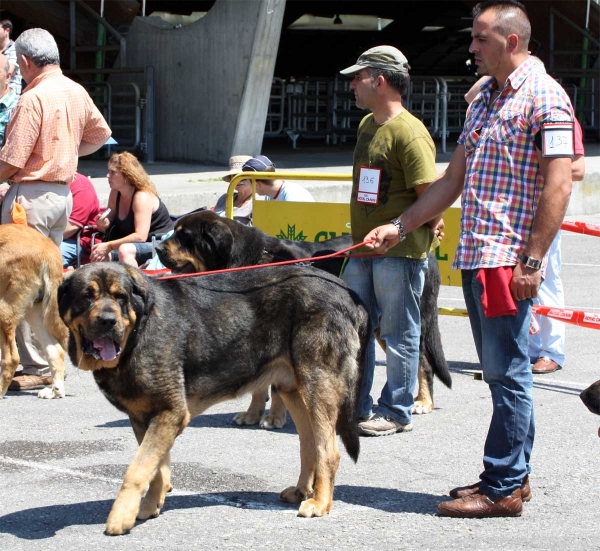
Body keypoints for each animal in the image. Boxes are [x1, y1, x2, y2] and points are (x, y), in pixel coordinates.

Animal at [0, 224, 68, 402]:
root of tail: (48, 248)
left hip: (4, 310)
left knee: (12, 358)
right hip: (35, 312)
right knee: (55, 351)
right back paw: (55, 391)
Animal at [58, 264, 368, 536]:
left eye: (120, 297)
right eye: (87, 296)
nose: (107, 322)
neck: (138, 332)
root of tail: (348, 294)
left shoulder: (170, 413)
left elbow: (137, 469)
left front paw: (121, 517)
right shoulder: (145, 418)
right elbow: (156, 469)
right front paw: (149, 506)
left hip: (318, 384)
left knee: (329, 451)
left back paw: (320, 502)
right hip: (293, 389)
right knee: (309, 444)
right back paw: (303, 490)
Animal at [155, 209, 450, 430]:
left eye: (183, 237)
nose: (157, 248)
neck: (247, 260)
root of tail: (429, 251)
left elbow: (275, 387)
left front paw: (274, 417)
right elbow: (259, 386)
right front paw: (252, 413)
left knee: (422, 360)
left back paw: (423, 402)